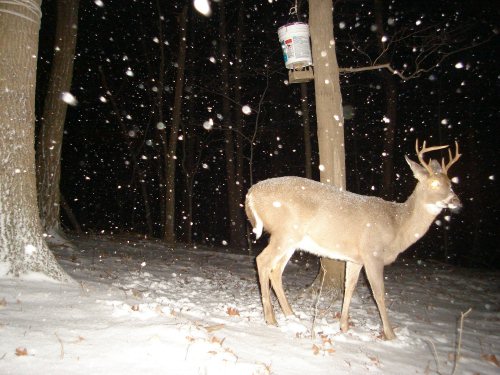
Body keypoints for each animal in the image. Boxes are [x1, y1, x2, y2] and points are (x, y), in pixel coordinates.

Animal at [246, 141, 460, 340]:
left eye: (450, 183)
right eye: (434, 184)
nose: (456, 201)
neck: (397, 225)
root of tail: (251, 193)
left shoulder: (355, 259)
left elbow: (349, 287)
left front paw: (344, 326)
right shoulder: (373, 253)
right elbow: (379, 293)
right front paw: (390, 334)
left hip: (291, 240)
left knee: (275, 270)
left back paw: (291, 315)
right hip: (285, 232)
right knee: (262, 261)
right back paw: (271, 319)